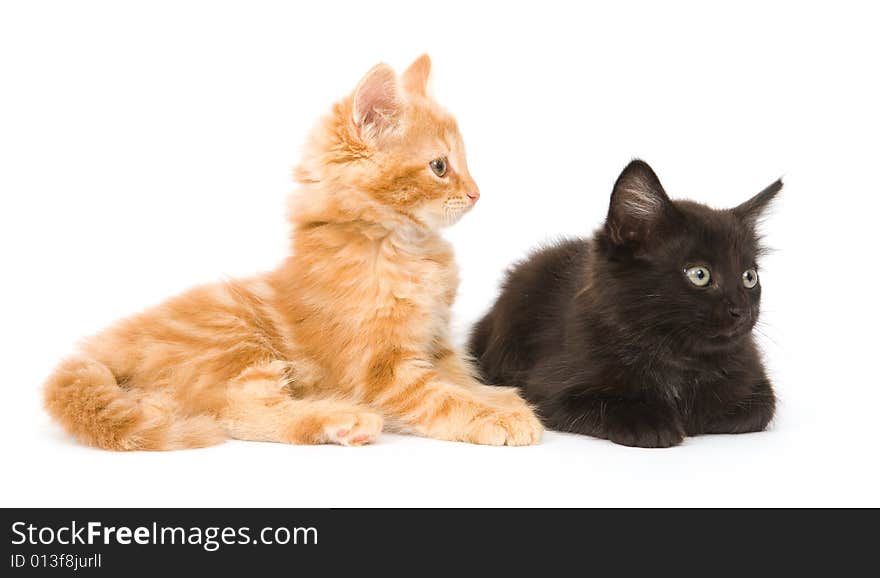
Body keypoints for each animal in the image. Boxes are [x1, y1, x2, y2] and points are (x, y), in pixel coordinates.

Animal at [48, 55, 548, 450]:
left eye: (464, 163)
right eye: (440, 167)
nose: (476, 193)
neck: (399, 246)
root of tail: (103, 344)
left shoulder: (436, 342)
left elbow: (461, 377)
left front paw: (500, 398)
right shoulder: (379, 367)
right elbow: (439, 396)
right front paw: (496, 417)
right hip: (238, 342)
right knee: (239, 411)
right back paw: (343, 420)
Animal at [470, 160, 780, 448]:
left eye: (749, 277)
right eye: (699, 274)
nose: (742, 310)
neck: (676, 356)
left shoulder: (756, 382)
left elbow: (755, 410)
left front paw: (690, 418)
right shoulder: (546, 387)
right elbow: (596, 401)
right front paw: (649, 420)